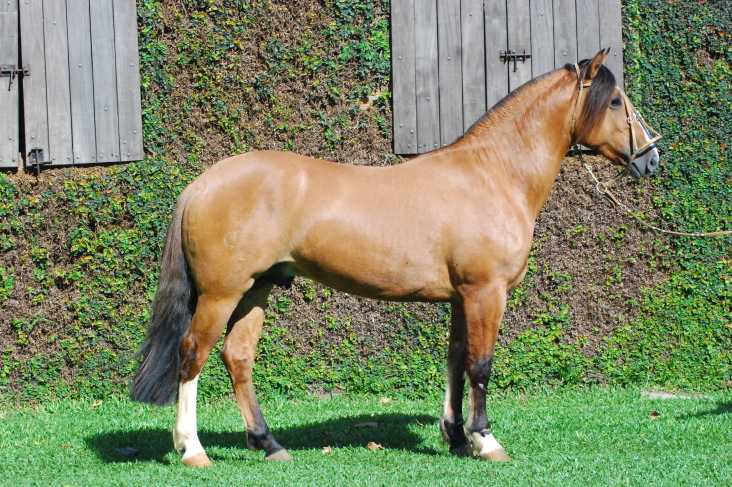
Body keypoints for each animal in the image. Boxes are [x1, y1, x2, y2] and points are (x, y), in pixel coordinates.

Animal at [130, 49, 661, 466]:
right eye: (616, 100)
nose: (652, 157)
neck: (493, 174)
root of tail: (202, 184)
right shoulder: (486, 293)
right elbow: (481, 365)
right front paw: (486, 442)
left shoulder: (461, 298)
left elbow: (455, 360)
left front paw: (456, 439)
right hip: (221, 294)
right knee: (192, 354)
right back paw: (193, 449)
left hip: (256, 290)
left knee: (237, 357)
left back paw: (269, 444)